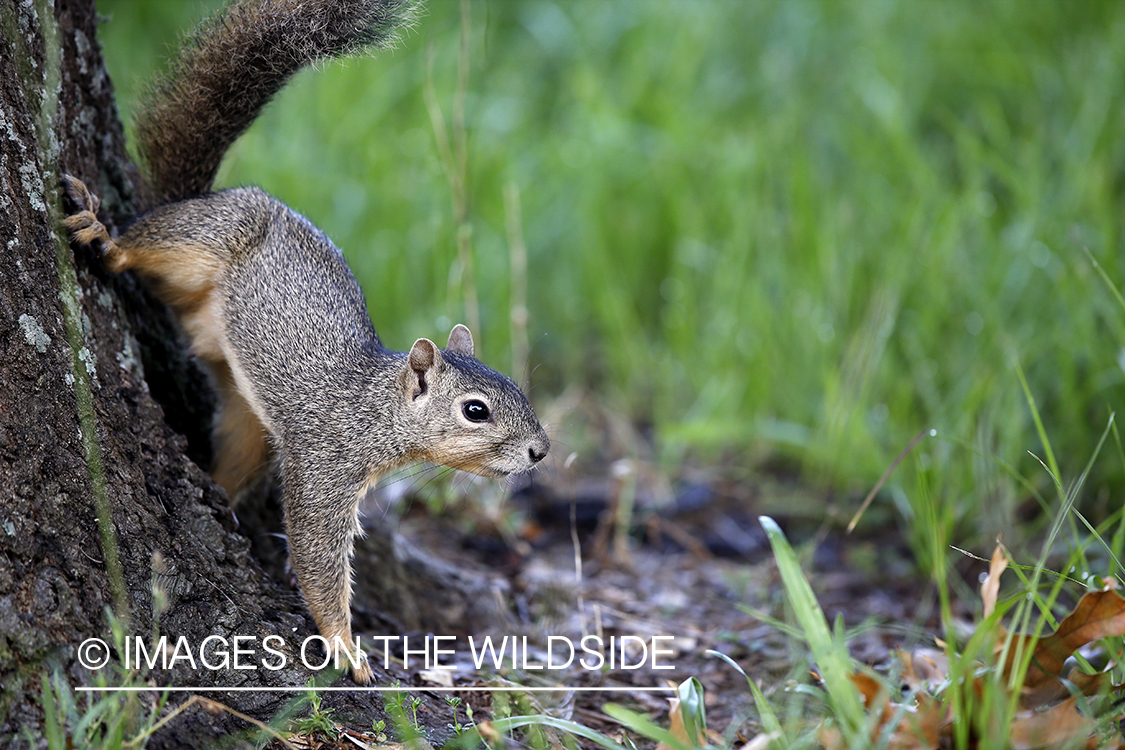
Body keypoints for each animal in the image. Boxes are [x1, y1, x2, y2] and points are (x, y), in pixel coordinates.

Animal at [61, 0, 549, 688]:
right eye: (475, 410)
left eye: (516, 388)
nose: (540, 450)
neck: (374, 409)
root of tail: (206, 195)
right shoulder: (324, 467)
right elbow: (318, 556)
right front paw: (347, 647)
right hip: (203, 239)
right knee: (140, 244)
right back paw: (105, 234)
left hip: (247, 416)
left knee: (235, 447)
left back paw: (218, 492)